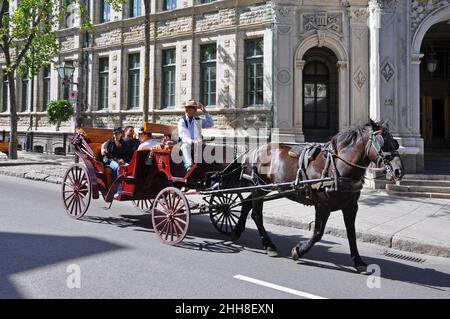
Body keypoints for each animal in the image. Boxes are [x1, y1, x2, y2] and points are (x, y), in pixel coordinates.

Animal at [232, 120, 404, 276]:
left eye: (395, 143)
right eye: (383, 144)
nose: (399, 171)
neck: (337, 167)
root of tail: (252, 150)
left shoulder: (351, 206)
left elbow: (351, 233)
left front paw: (359, 262)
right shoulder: (322, 205)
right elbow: (318, 233)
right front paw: (299, 250)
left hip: (262, 188)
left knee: (246, 204)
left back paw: (237, 231)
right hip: (258, 188)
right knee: (256, 214)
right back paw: (268, 245)